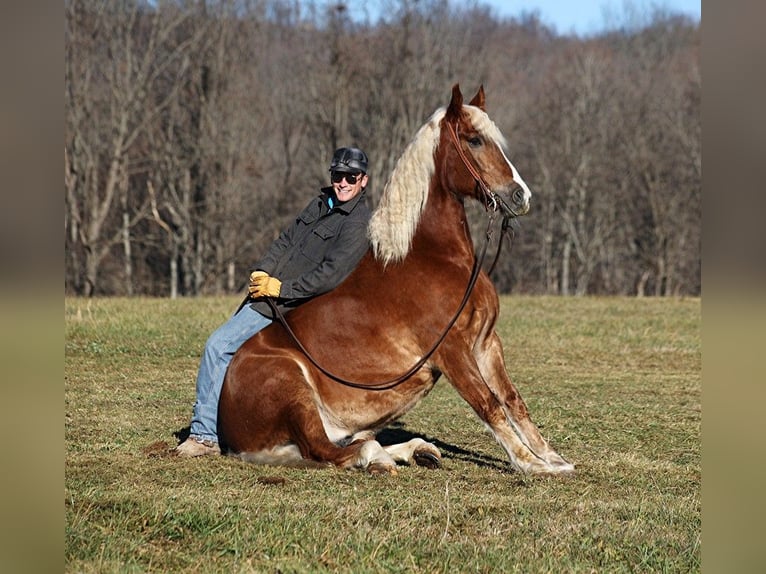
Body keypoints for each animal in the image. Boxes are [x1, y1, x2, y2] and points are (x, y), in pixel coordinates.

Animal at [218, 82, 576, 476]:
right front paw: (533, 465)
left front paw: (554, 459)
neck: (433, 256)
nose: (521, 195)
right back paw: (381, 457)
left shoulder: (485, 342)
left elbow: (513, 400)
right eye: (474, 140)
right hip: (293, 388)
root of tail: (228, 430)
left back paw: (418, 451)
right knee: (325, 450)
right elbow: (488, 404)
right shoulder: (452, 350)